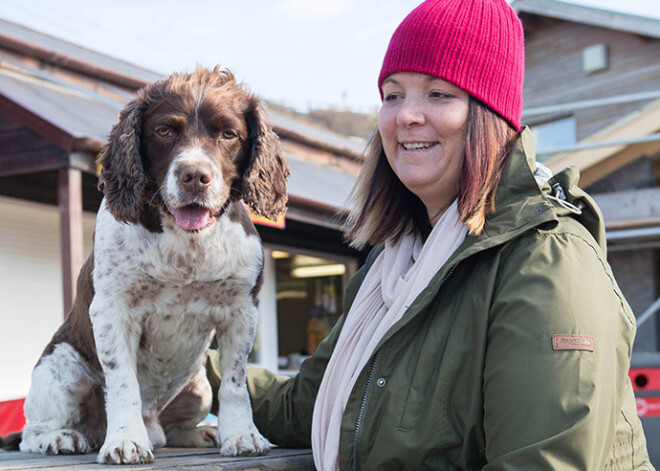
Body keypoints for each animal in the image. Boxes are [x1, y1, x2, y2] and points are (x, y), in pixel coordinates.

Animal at [15, 68, 288, 466]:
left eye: (228, 133)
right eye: (164, 131)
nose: (195, 176)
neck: (186, 240)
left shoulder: (241, 309)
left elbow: (236, 384)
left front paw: (242, 436)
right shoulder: (112, 309)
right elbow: (123, 381)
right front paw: (125, 440)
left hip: (199, 386)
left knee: (174, 429)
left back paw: (202, 433)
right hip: (63, 368)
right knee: (28, 435)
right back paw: (62, 438)